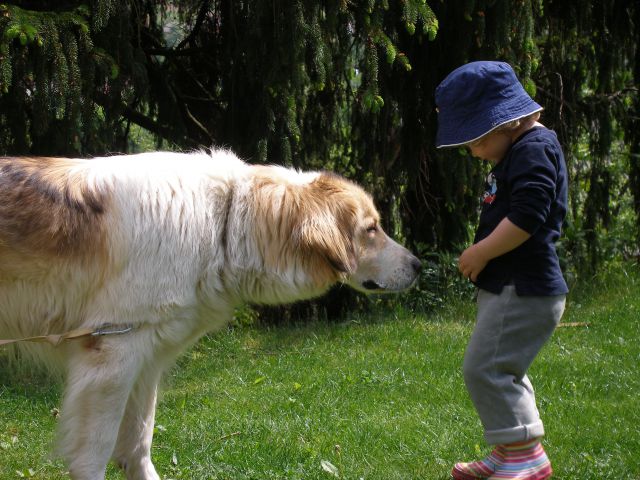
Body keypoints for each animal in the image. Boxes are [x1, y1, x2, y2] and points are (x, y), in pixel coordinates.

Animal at [0, 149, 420, 476]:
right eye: (371, 229)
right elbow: (94, 456)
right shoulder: (113, 354)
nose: (418, 266)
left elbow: (138, 446)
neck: (224, 223)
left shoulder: (144, 361)